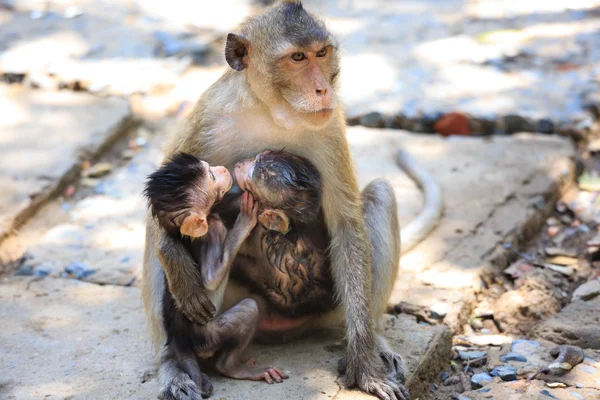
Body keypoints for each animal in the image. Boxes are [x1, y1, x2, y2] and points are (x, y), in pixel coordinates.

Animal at [145, 0, 442, 400]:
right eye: (297, 57)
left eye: (322, 53)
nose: (322, 88)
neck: (270, 112)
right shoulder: (207, 117)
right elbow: (162, 209)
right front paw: (177, 264)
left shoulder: (330, 128)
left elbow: (347, 224)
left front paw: (365, 364)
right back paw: (176, 361)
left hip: (332, 307)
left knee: (380, 194)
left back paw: (373, 339)